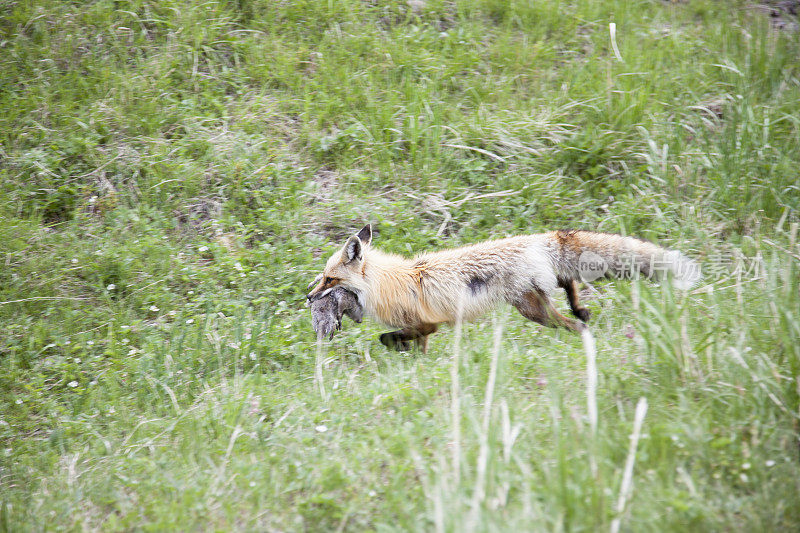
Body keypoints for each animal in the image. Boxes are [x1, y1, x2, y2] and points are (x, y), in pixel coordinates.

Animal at [306, 223, 700, 352]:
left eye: (329, 279)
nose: (307, 297)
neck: (387, 283)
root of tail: (536, 238)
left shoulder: (426, 323)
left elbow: (388, 337)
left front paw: (396, 350)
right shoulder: (421, 329)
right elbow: (414, 348)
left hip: (531, 309)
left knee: (571, 322)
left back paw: (584, 330)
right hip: (539, 296)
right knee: (568, 283)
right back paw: (581, 307)